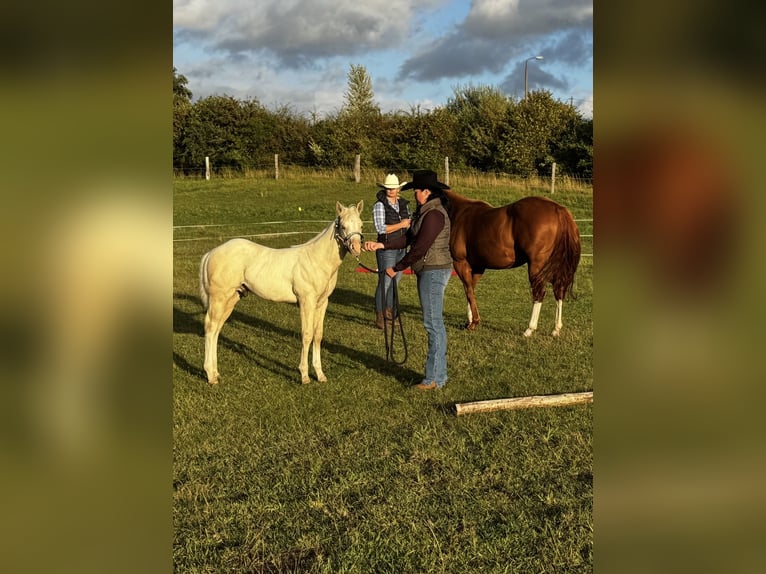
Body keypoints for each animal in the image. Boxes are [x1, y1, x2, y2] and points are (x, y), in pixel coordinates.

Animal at [199, 201, 364, 385]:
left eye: (361, 225)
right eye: (342, 226)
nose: (357, 248)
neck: (316, 260)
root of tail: (211, 253)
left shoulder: (322, 303)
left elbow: (318, 335)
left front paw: (320, 375)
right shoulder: (306, 302)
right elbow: (307, 335)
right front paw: (304, 376)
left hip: (231, 299)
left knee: (216, 329)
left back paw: (215, 373)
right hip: (219, 299)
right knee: (210, 327)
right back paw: (210, 375)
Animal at [445, 190, 580, 336]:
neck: (459, 212)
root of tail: (558, 209)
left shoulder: (460, 263)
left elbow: (468, 290)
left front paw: (473, 322)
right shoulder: (478, 267)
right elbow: (470, 290)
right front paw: (470, 320)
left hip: (536, 267)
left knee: (539, 293)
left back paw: (529, 329)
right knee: (559, 290)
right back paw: (556, 329)